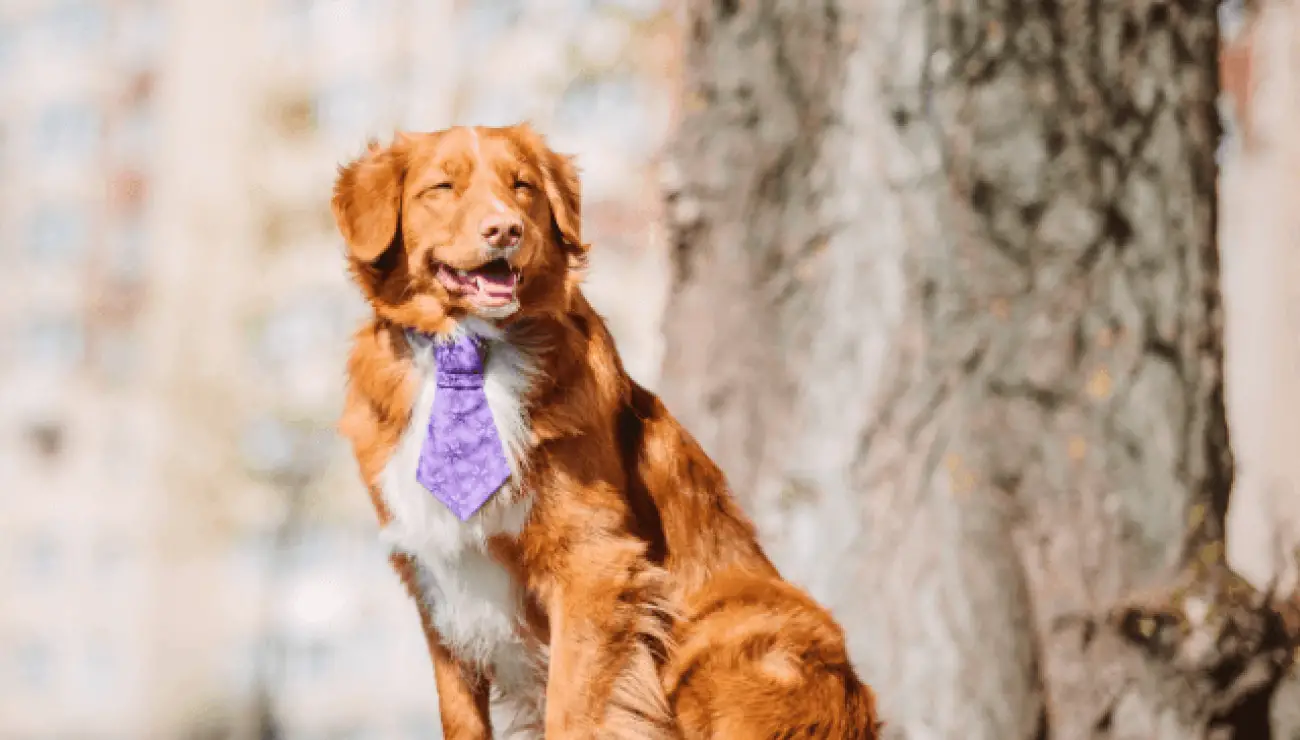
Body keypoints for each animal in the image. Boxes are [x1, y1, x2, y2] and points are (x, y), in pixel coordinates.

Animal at [335, 124, 883, 733]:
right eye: (442, 187)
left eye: (522, 186)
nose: (505, 229)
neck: (470, 351)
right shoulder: (439, 582)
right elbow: (461, 719)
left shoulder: (593, 563)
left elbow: (575, 711)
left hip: (732, 637)